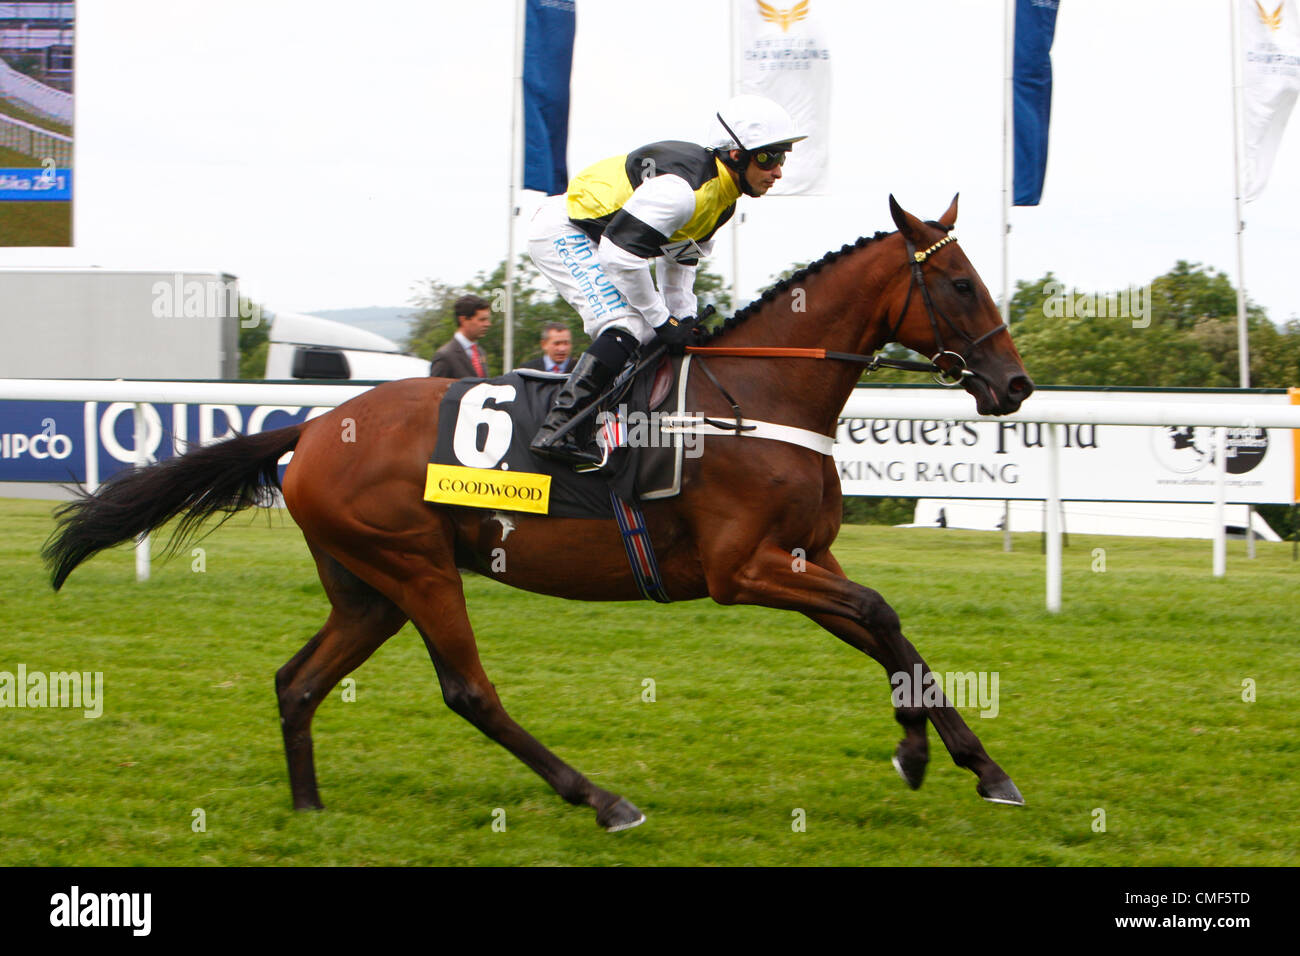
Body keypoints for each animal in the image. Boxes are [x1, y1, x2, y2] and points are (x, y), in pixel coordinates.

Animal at [43, 197, 1034, 832]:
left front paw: (966, 764)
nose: (1015, 386)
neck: (756, 395)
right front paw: (934, 757)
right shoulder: (742, 570)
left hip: (367, 588)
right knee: (468, 690)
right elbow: (879, 614)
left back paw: (310, 808)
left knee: (297, 681)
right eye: (958, 285)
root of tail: (317, 425)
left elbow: (888, 631)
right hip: (414, 566)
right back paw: (602, 800)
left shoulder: (802, 557)